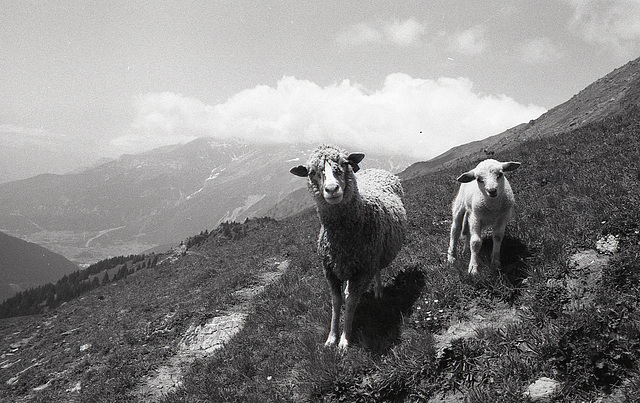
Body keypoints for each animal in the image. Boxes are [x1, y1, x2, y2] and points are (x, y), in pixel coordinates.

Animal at [290, 145, 404, 350]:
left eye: (345, 163)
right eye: (311, 172)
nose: (332, 189)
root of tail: (375, 170)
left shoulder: (363, 269)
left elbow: (350, 303)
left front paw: (344, 340)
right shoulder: (329, 270)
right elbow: (336, 303)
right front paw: (331, 338)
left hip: (374, 256)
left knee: (376, 271)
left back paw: (378, 291)